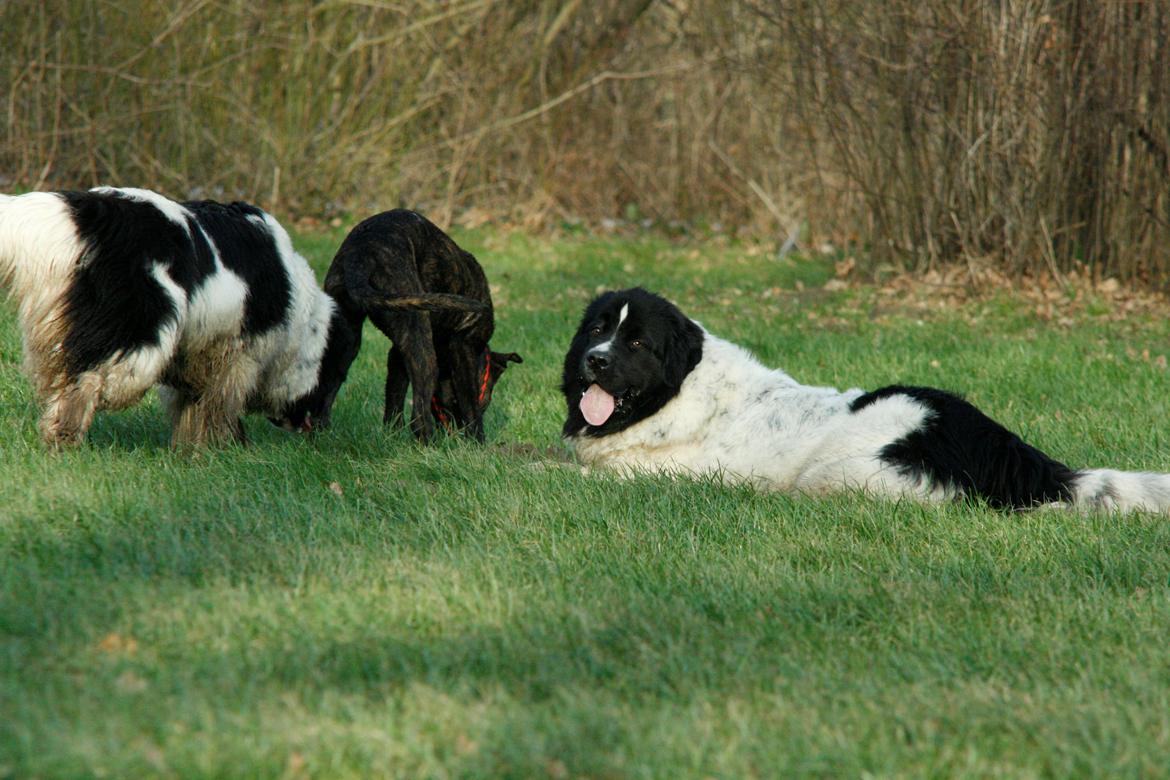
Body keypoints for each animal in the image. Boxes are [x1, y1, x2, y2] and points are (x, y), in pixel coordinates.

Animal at [0, 185, 358, 449]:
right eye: (338, 377)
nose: (324, 428)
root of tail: (89, 213)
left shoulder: (198, 356)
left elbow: (193, 405)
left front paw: (190, 449)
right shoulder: (239, 354)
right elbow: (220, 404)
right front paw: (225, 448)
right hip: (137, 340)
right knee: (86, 382)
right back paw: (64, 440)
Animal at [559, 286, 1170, 512]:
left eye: (637, 342)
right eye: (597, 331)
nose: (597, 361)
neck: (677, 393)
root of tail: (997, 443)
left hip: (838, 472)